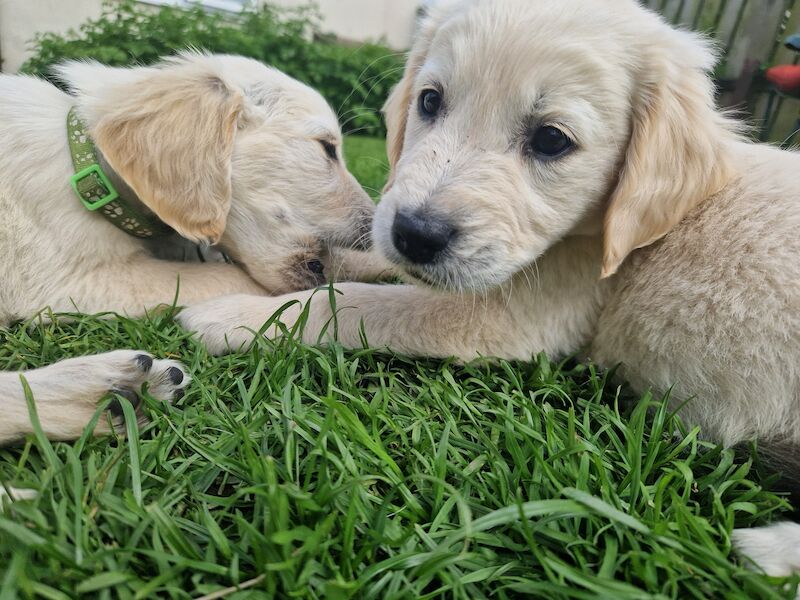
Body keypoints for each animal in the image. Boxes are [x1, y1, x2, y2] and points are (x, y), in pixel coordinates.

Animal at [180, 1, 800, 580]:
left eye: (551, 140)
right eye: (430, 102)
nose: (414, 234)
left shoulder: (515, 317)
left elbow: (358, 301)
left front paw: (232, 316)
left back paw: (769, 551)